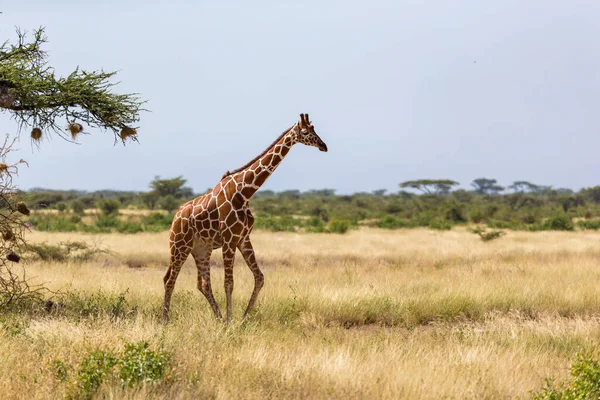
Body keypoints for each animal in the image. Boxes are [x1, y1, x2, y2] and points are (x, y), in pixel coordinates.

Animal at [163, 113, 328, 324]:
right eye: (306, 132)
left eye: (315, 129)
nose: (323, 146)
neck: (245, 192)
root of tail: (175, 217)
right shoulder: (229, 240)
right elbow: (228, 283)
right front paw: (230, 322)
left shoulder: (243, 239)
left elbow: (260, 278)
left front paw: (241, 320)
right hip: (179, 246)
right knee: (169, 279)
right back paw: (165, 320)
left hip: (201, 249)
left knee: (203, 284)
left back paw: (217, 318)